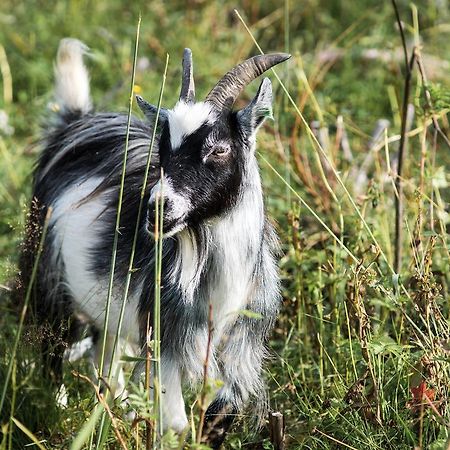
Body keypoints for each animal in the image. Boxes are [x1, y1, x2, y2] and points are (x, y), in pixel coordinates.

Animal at [20, 38, 288, 446]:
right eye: (162, 148)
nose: (158, 208)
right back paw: (60, 410)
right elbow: (175, 424)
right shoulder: (164, 337)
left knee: (104, 357)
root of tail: (75, 123)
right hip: (46, 270)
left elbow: (222, 413)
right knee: (53, 346)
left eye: (219, 149)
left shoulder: (241, 340)